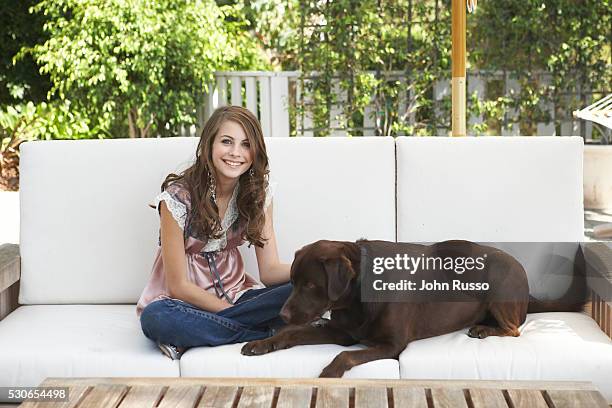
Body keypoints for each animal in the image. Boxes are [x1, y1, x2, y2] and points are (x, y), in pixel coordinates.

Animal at [239, 239, 584, 376]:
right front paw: (262, 343)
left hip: (499, 286)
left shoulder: (390, 346)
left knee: (514, 330)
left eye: (311, 285)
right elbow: (293, 334)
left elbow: (344, 356)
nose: (282, 314)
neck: (357, 297)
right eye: (293, 282)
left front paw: (328, 372)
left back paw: (483, 329)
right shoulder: (341, 332)